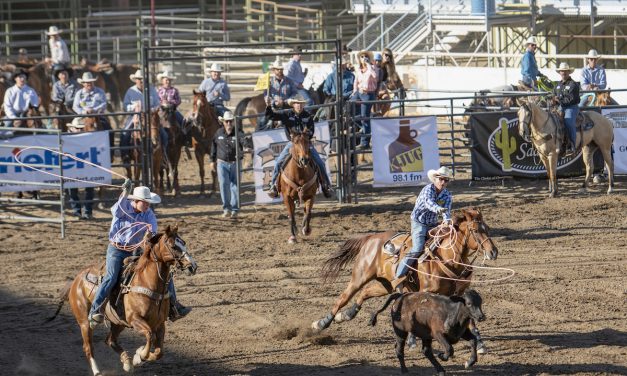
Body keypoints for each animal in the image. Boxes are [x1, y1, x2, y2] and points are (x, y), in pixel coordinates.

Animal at [47, 226, 197, 376]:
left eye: (183, 242)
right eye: (173, 245)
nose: (193, 266)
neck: (147, 282)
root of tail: (75, 281)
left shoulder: (160, 323)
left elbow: (159, 351)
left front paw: (137, 357)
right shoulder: (135, 319)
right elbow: (150, 336)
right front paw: (140, 356)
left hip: (118, 322)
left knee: (110, 340)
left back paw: (127, 363)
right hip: (84, 322)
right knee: (88, 346)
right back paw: (97, 370)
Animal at [312, 209, 498, 350]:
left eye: (487, 228)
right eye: (475, 230)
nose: (493, 252)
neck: (447, 258)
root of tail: (371, 238)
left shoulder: (460, 293)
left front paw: (480, 343)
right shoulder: (426, 292)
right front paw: (413, 340)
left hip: (386, 284)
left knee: (365, 293)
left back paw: (346, 315)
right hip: (360, 276)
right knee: (343, 298)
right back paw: (322, 323)